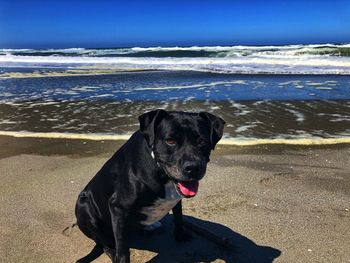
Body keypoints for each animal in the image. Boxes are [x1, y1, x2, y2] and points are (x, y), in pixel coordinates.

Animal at [75, 110, 226, 263]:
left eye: (202, 141)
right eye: (170, 141)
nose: (193, 168)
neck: (161, 172)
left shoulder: (176, 197)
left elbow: (179, 217)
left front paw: (180, 235)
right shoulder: (118, 207)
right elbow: (123, 249)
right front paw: (121, 257)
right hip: (84, 206)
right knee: (104, 244)